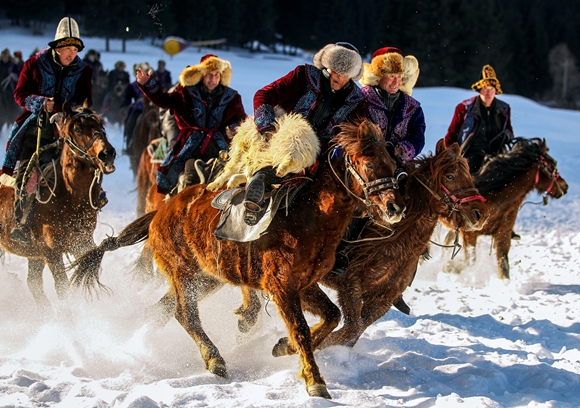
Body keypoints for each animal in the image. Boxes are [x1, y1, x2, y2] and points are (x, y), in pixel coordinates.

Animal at [0, 103, 116, 310]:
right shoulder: (51, 250)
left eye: (101, 126)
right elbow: (62, 287)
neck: (68, 197)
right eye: (78, 129)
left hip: (35, 256)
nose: (107, 154)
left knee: (34, 284)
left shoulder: (82, 241)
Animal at [72, 119, 406, 400]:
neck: (309, 218)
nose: (395, 208)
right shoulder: (281, 287)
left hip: (207, 278)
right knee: (186, 315)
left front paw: (283, 347)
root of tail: (160, 213)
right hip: (182, 272)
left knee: (164, 310)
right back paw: (214, 359)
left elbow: (331, 316)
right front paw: (315, 381)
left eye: (393, 164)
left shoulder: (304, 285)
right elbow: (300, 328)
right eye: (368, 163)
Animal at [442, 139, 568, 278]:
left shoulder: (503, 235)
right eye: (552, 165)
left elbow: (503, 266)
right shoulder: (469, 234)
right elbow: (469, 262)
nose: (565, 186)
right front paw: (449, 267)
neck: (497, 200)